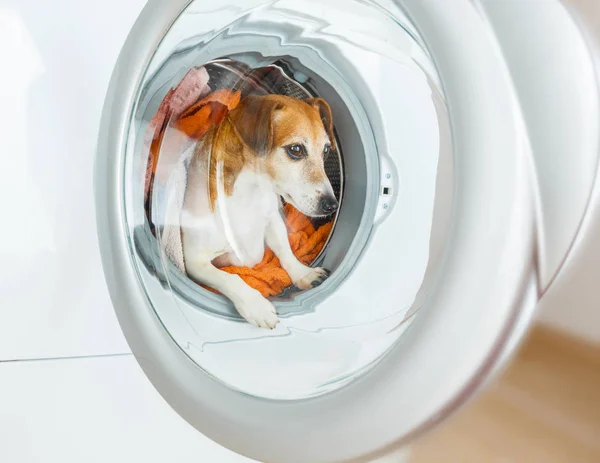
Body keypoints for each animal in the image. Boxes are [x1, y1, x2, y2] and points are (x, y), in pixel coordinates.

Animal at [180, 93, 340, 330]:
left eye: (326, 150)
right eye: (296, 149)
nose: (332, 205)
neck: (251, 192)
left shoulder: (272, 219)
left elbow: (285, 251)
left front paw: (303, 273)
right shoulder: (193, 260)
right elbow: (229, 278)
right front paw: (256, 306)